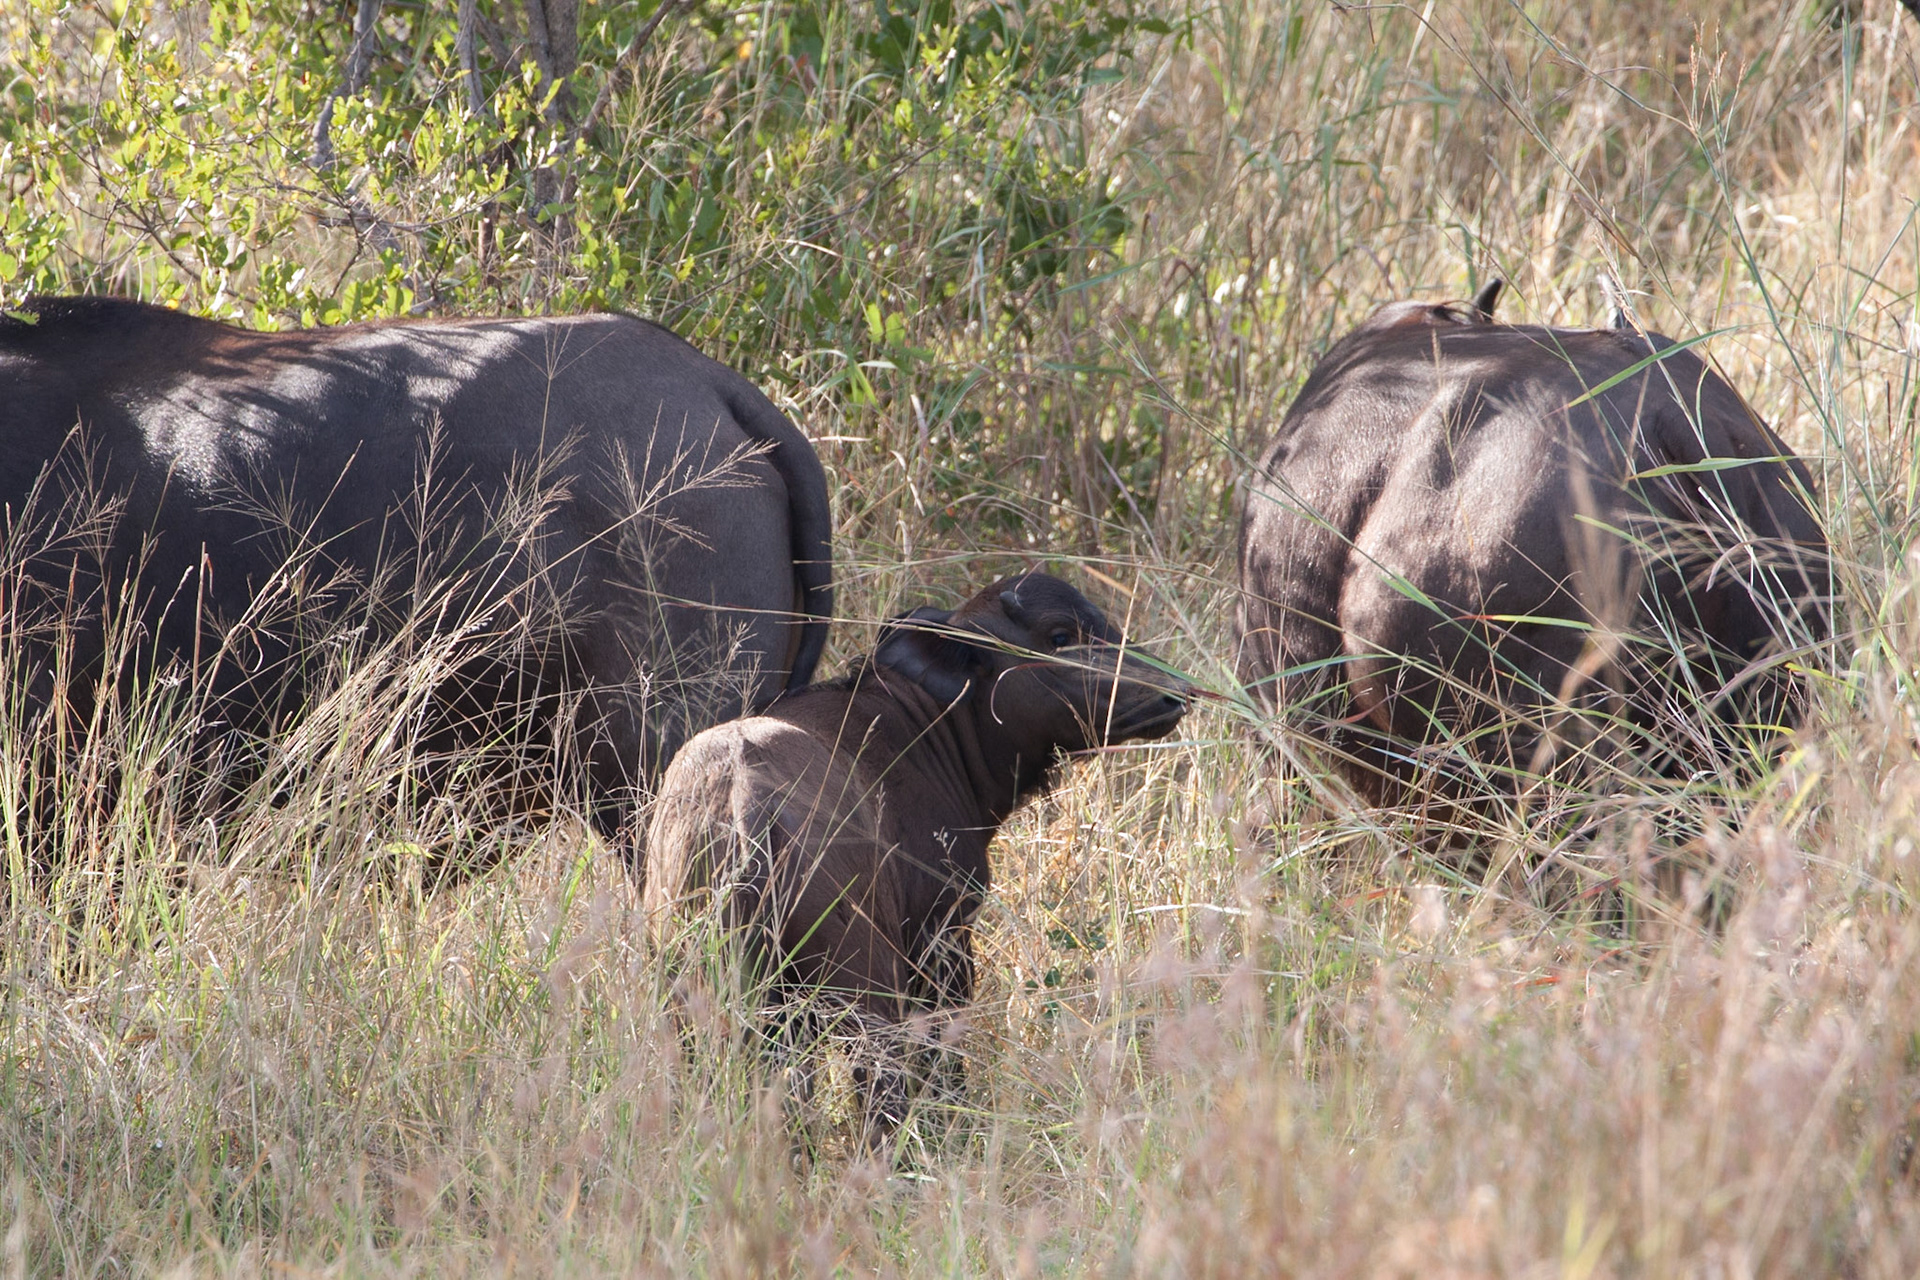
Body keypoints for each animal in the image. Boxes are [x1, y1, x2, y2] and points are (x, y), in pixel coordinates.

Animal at [642, 571, 1190, 1138]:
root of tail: (743, 804)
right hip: (867, 991)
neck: (925, 728)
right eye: (1061, 636)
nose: (1174, 693)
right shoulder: (943, 938)